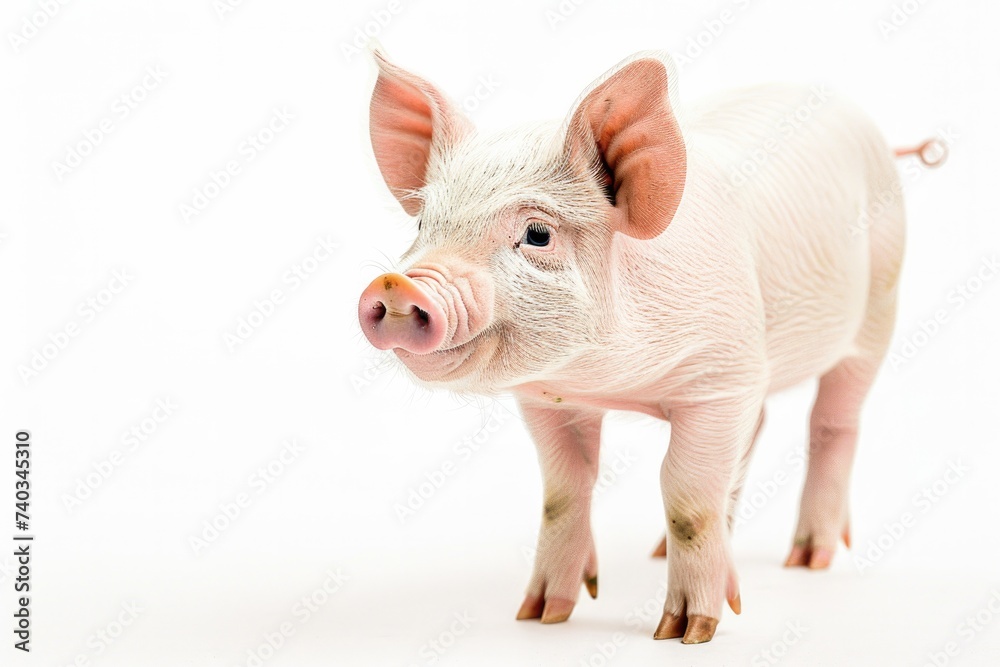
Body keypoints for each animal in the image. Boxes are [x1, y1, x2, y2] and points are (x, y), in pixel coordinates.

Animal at [358, 46, 940, 643]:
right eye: (423, 225)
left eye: (538, 234)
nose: (398, 284)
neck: (611, 381)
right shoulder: (548, 400)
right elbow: (563, 492)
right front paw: (542, 614)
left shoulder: (720, 377)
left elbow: (687, 496)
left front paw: (687, 632)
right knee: (757, 428)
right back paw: (662, 553)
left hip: (879, 306)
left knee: (834, 421)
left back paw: (808, 560)